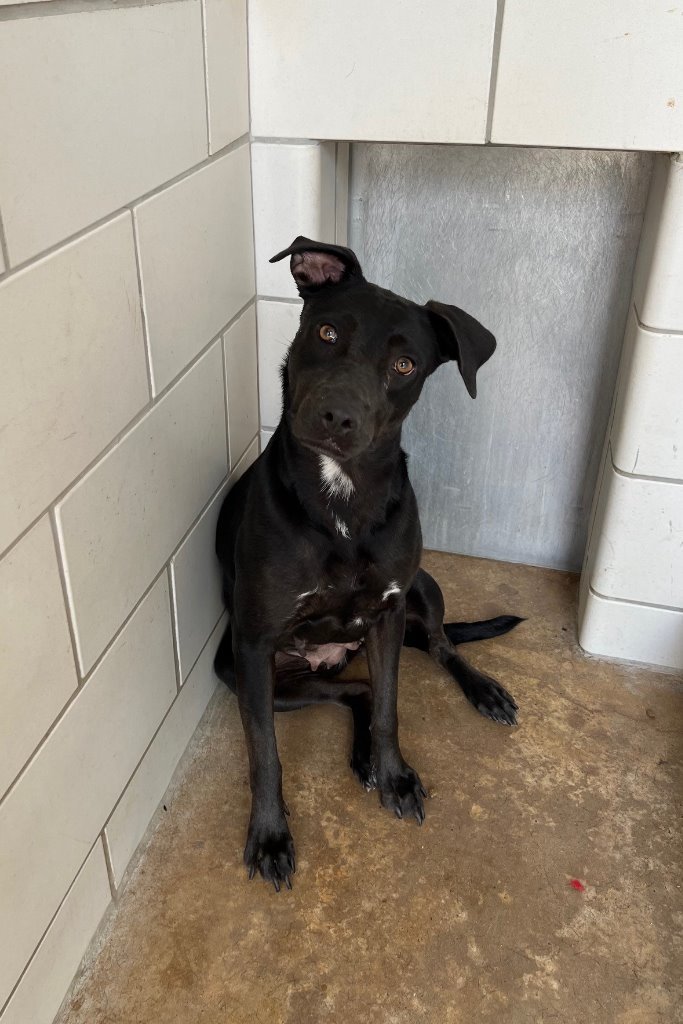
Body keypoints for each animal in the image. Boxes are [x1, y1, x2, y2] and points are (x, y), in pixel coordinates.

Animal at [216, 237, 520, 888]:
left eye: (405, 366)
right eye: (327, 332)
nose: (337, 416)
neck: (343, 498)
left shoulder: (388, 613)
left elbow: (388, 707)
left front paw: (396, 774)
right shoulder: (253, 646)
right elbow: (265, 753)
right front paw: (271, 835)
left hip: (424, 588)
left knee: (439, 647)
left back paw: (482, 691)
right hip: (253, 673)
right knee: (350, 690)